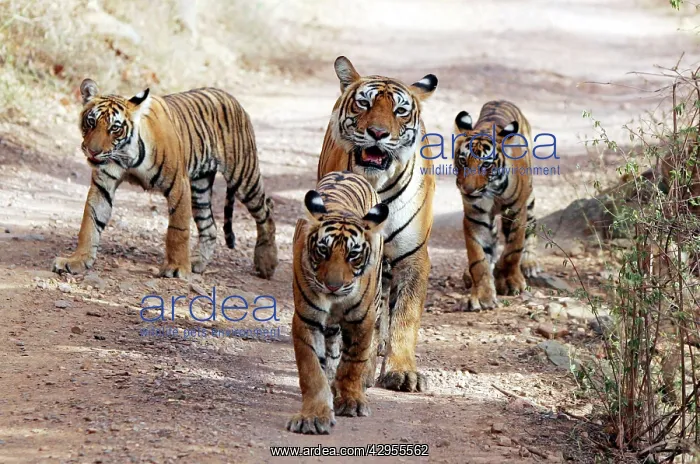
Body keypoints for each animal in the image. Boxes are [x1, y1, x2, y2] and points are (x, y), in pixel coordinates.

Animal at [52, 79, 278, 280]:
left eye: (115, 128)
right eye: (91, 122)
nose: (93, 151)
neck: (126, 155)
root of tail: (230, 96)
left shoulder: (179, 186)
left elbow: (178, 230)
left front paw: (176, 268)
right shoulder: (103, 186)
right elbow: (90, 223)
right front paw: (76, 261)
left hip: (243, 176)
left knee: (266, 210)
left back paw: (267, 262)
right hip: (200, 186)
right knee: (210, 226)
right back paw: (197, 262)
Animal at [287, 171, 389, 435]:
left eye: (353, 255)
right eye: (323, 250)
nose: (333, 285)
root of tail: (350, 172)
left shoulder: (362, 320)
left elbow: (353, 362)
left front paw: (351, 400)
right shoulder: (307, 319)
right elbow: (312, 370)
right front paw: (314, 415)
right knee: (331, 349)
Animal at [316, 56, 437, 393]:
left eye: (400, 110)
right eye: (364, 103)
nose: (378, 133)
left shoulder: (413, 256)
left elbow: (405, 317)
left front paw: (402, 371)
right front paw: (363, 369)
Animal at [452, 100, 541, 311]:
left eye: (486, 165)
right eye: (462, 161)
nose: (468, 190)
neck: (493, 190)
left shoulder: (517, 211)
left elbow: (513, 250)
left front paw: (511, 281)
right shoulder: (476, 217)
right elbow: (479, 259)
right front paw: (483, 295)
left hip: (529, 199)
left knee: (530, 229)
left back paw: (529, 263)